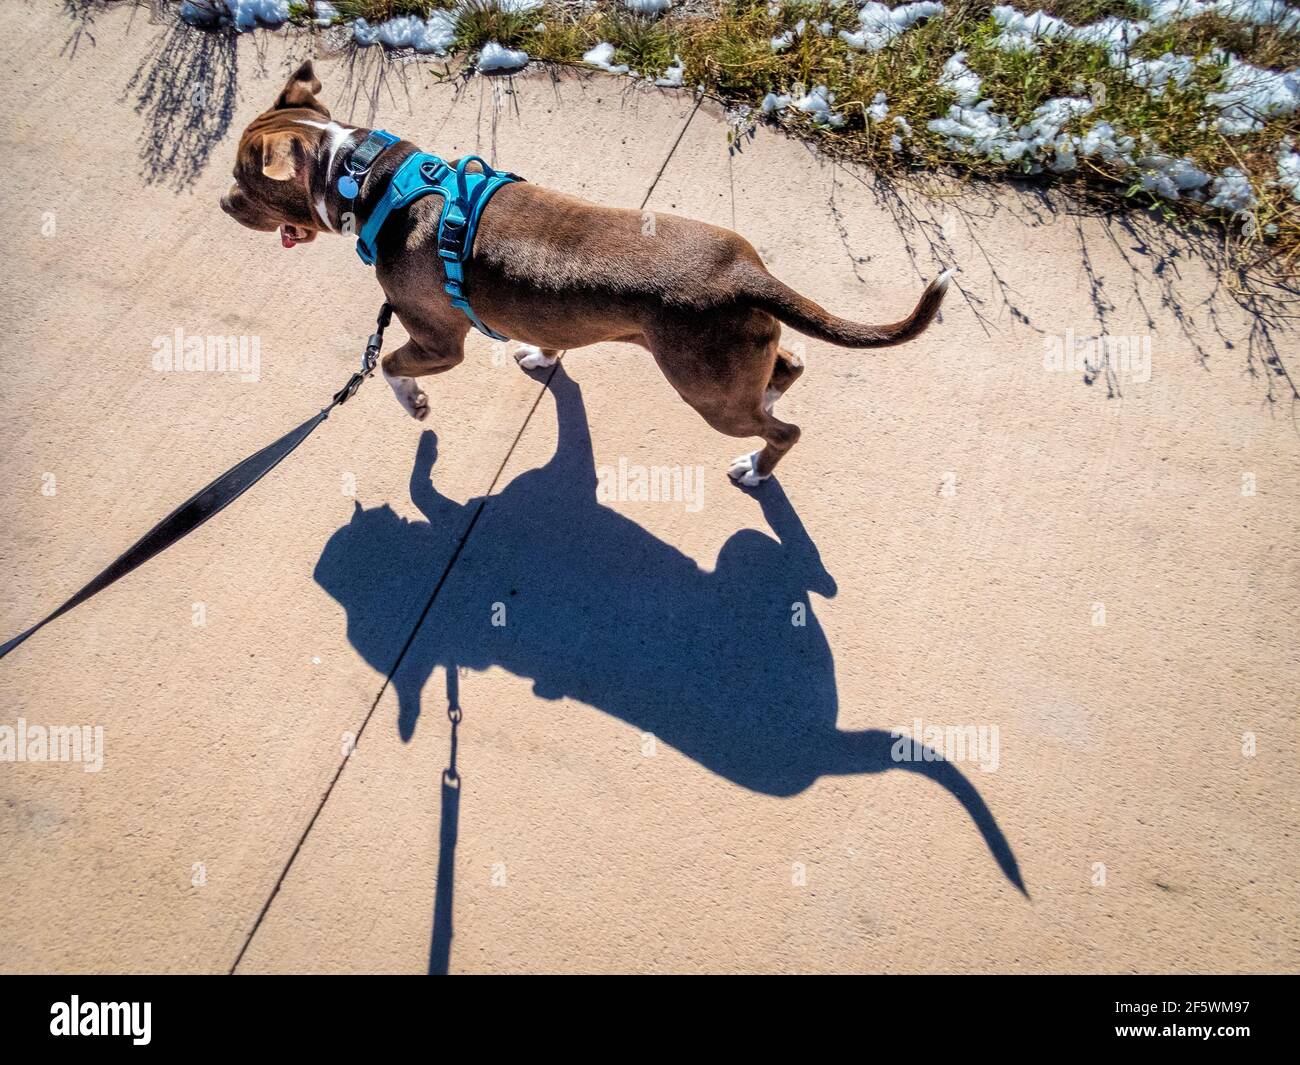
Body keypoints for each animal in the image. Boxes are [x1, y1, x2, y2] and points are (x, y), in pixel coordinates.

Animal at [223, 62, 951, 486]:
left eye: (245, 181)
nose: (222, 202)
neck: (367, 173)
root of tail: (745, 272)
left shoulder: (438, 341)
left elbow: (391, 368)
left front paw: (415, 404)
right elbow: (548, 341)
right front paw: (539, 359)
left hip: (706, 392)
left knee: (782, 430)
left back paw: (755, 467)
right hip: (738, 357)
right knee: (790, 365)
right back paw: (774, 393)